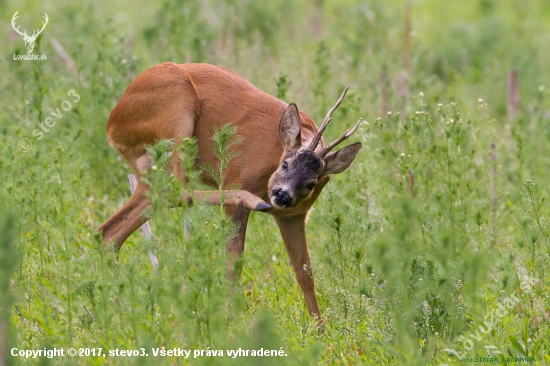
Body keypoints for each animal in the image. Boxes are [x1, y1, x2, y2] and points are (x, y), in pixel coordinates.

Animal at [99, 61, 364, 324]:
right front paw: (231, 320)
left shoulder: (293, 216)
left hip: (151, 171)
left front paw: (320, 328)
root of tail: (112, 123)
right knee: (176, 189)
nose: (282, 195)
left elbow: (305, 273)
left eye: (311, 183)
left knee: (110, 232)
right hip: (177, 110)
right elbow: (234, 263)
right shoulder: (236, 178)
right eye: (286, 164)